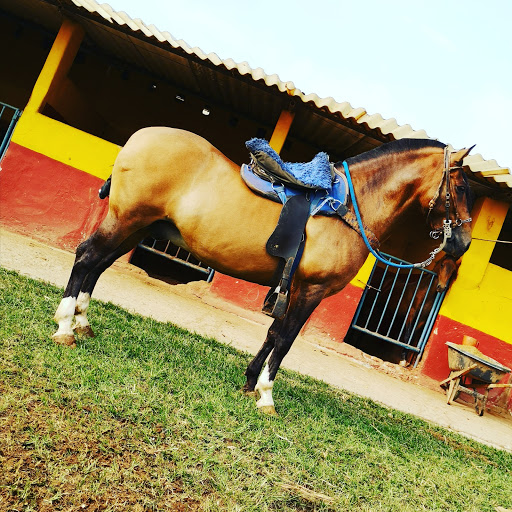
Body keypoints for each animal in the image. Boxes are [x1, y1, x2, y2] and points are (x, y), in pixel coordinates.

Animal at [51, 128, 472, 416]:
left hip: (136, 227)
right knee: (87, 258)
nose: (463, 243)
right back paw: (65, 327)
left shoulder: (295, 287)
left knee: (98, 266)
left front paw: (250, 381)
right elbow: (285, 339)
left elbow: (272, 333)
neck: (350, 207)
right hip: (127, 221)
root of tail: (139, 138)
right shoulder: (311, 290)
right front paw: (266, 395)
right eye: (461, 186)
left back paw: (83, 323)